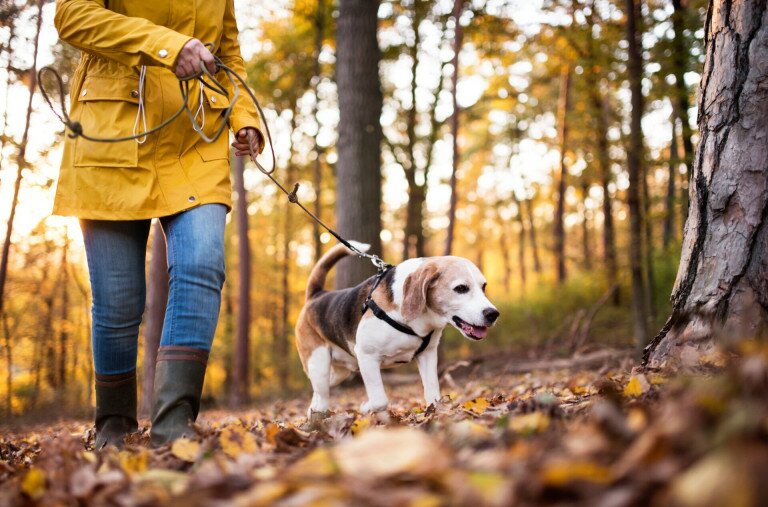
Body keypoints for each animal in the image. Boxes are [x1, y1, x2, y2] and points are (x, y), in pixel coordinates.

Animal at [292, 242, 498, 416]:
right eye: (461, 288)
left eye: (484, 287)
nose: (493, 314)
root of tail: (317, 295)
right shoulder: (367, 356)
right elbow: (380, 400)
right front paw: (369, 409)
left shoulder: (428, 355)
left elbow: (433, 394)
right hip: (319, 364)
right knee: (322, 395)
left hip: (339, 372)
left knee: (318, 395)